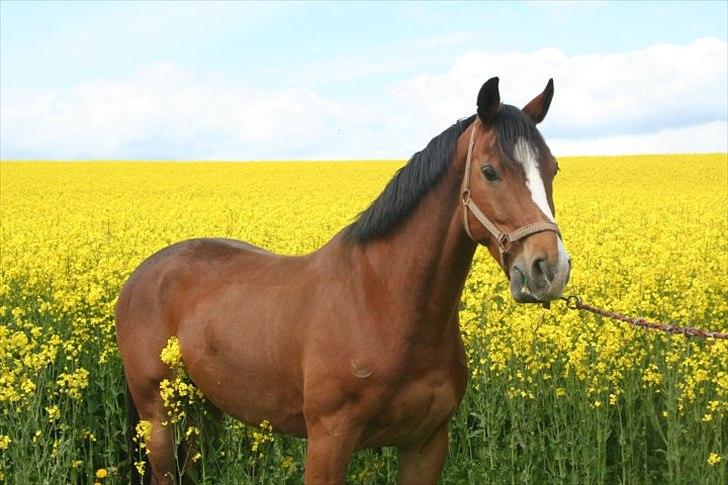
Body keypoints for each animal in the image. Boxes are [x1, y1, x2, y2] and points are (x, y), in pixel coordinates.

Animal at [115, 77, 568, 482]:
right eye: (490, 171)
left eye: (553, 168)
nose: (549, 268)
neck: (382, 301)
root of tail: (140, 275)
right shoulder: (329, 440)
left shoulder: (425, 443)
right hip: (158, 414)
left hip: (199, 409)